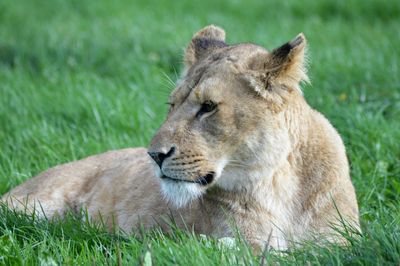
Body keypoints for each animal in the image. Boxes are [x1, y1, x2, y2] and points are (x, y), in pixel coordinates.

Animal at [1, 25, 360, 249]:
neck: (279, 183)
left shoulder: (341, 242)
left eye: (208, 107)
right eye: (171, 105)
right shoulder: (247, 240)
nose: (155, 155)